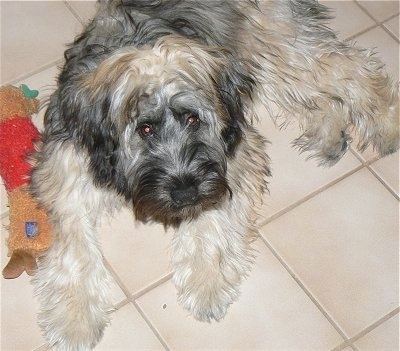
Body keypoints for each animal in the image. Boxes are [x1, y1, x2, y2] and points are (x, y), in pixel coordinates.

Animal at [28, 1, 400, 350]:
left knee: (350, 67)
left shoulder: (229, 155)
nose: (184, 193)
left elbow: (211, 217)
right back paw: (329, 131)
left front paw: (206, 282)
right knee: (320, 88)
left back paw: (387, 124)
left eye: (193, 119)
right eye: (145, 129)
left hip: (277, 48)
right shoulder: (66, 171)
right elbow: (74, 248)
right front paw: (75, 318)